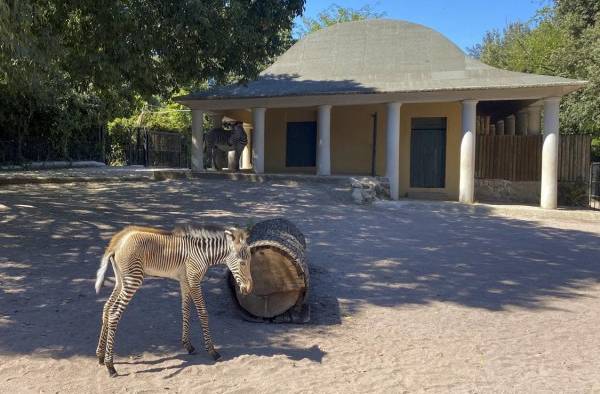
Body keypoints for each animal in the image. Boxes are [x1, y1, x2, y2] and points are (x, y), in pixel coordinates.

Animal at [94, 223, 253, 378]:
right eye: (242, 263)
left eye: (250, 261)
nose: (249, 289)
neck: (203, 253)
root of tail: (117, 241)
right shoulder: (194, 281)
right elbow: (202, 313)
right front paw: (212, 351)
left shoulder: (185, 281)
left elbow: (186, 310)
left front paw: (188, 345)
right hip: (133, 279)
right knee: (114, 313)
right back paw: (110, 366)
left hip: (121, 280)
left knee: (106, 308)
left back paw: (100, 356)